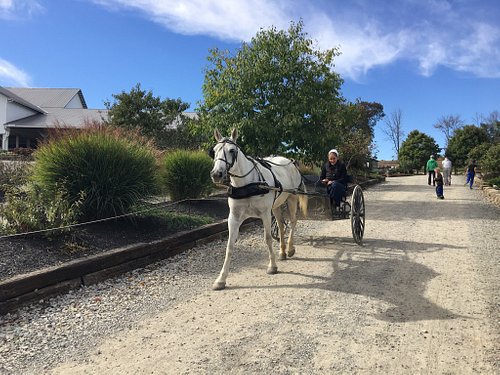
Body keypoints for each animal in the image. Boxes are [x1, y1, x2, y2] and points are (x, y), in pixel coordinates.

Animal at [209, 129, 306, 290]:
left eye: (232, 150)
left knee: (292, 221)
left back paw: (290, 248)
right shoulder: (234, 218)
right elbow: (229, 246)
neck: (247, 184)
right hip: (277, 205)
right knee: (281, 225)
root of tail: (290, 162)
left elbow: (267, 238)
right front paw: (221, 279)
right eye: (214, 151)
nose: (217, 174)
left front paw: (272, 266)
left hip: (292, 198)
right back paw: (282, 251)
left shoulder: (265, 214)